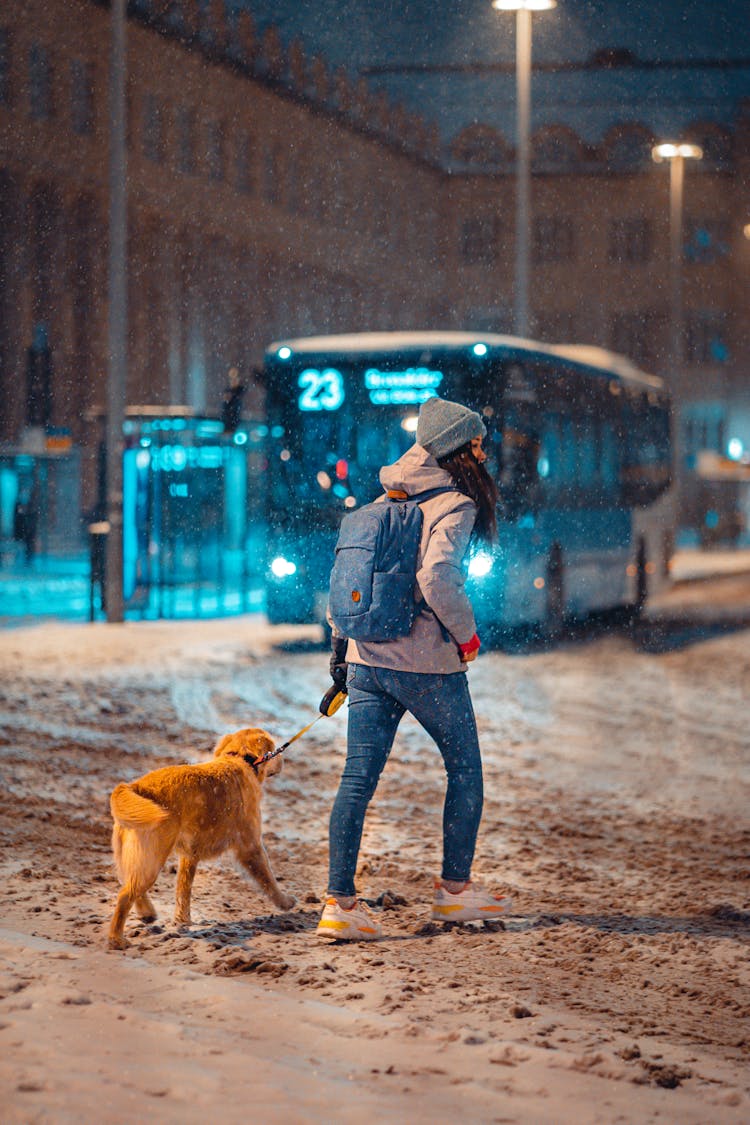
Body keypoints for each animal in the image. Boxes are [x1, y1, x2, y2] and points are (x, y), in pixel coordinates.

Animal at [106, 729, 294, 949]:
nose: (283, 759)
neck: (240, 759)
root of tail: (134, 786)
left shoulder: (190, 855)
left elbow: (183, 891)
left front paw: (183, 920)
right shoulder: (251, 845)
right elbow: (269, 880)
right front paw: (285, 902)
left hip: (136, 858)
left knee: (131, 886)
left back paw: (147, 913)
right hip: (151, 860)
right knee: (125, 895)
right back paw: (117, 939)